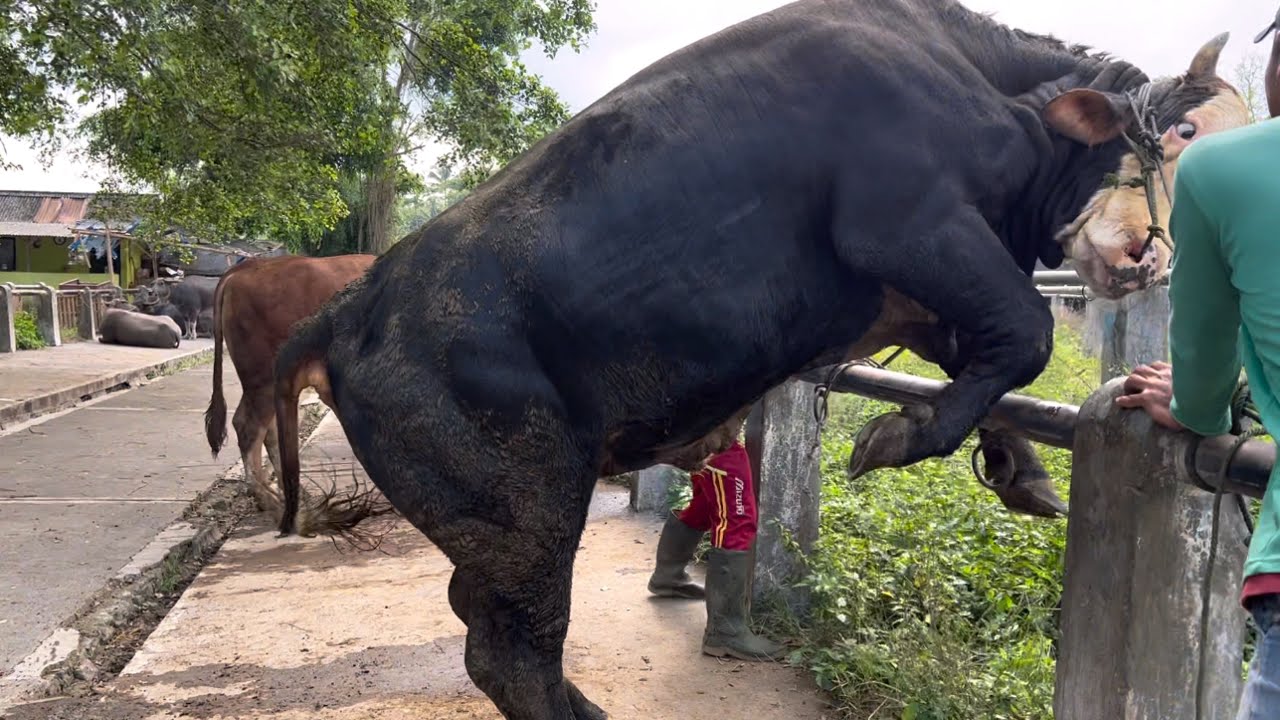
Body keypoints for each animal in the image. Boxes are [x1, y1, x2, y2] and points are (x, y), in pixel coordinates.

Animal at [272, 2, 1249, 712]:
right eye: (1183, 137)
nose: (1152, 258)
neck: (984, 85)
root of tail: (355, 304)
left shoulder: (915, 287)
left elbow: (993, 349)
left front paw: (1018, 466)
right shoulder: (908, 222)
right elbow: (1028, 331)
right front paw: (897, 439)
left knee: (486, 627)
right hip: (525, 503)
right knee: (509, 653)